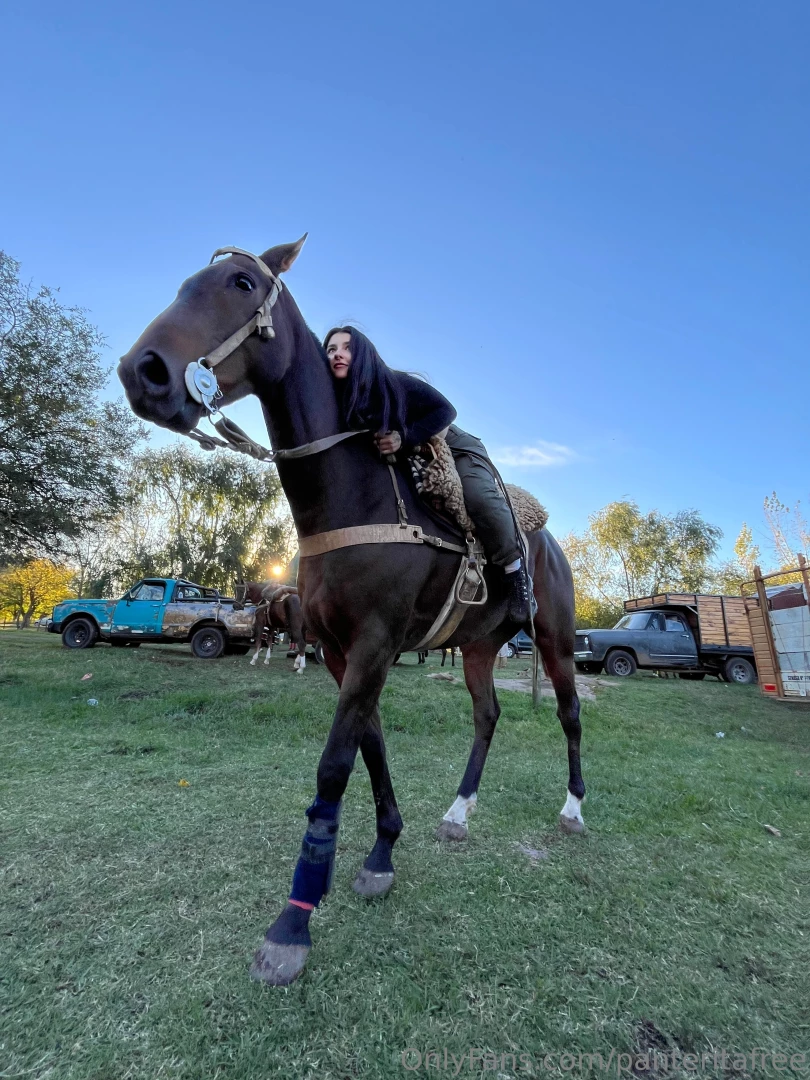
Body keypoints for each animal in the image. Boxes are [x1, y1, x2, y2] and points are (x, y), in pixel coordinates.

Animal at [118, 237, 585, 987]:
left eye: (241, 282)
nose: (145, 371)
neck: (353, 498)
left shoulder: (374, 644)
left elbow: (335, 764)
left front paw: (294, 920)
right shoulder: (342, 650)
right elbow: (371, 745)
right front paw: (381, 853)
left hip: (555, 639)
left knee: (569, 714)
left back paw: (573, 809)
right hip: (480, 646)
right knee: (487, 716)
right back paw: (459, 811)